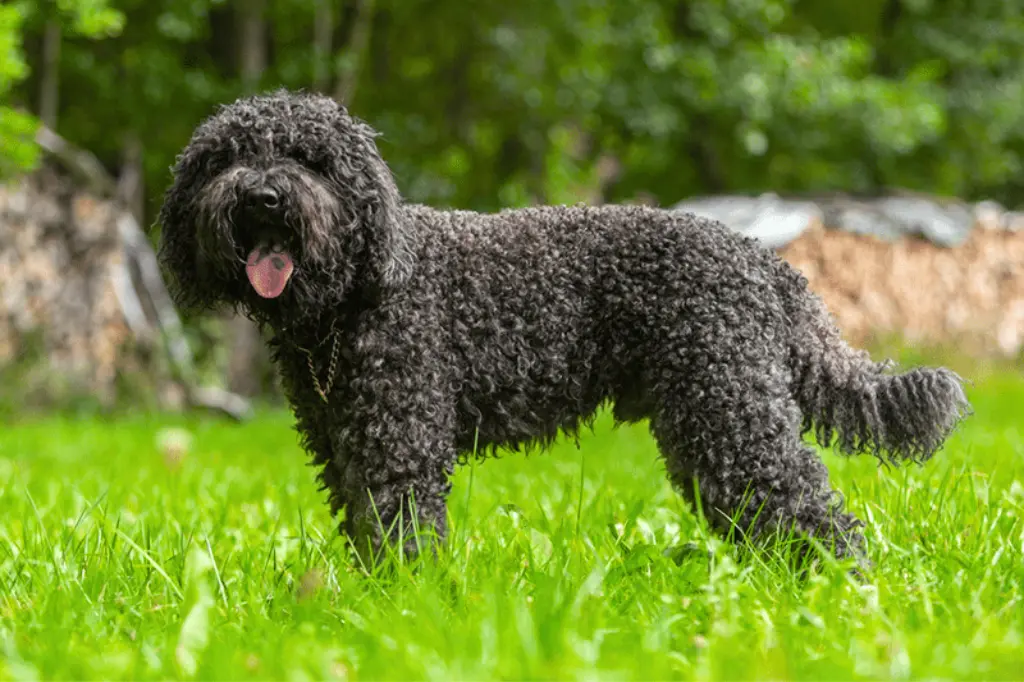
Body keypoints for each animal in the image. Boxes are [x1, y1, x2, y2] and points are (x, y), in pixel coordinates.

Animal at [155, 90, 970, 565]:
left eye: (309, 159)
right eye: (227, 158)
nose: (263, 198)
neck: (358, 295)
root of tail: (761, 260)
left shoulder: (399, 446)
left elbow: (403, 532)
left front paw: (409, 608)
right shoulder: (344, 447)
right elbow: (366, 531)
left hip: (729, 408)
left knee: (806, 506)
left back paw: (840, 588)